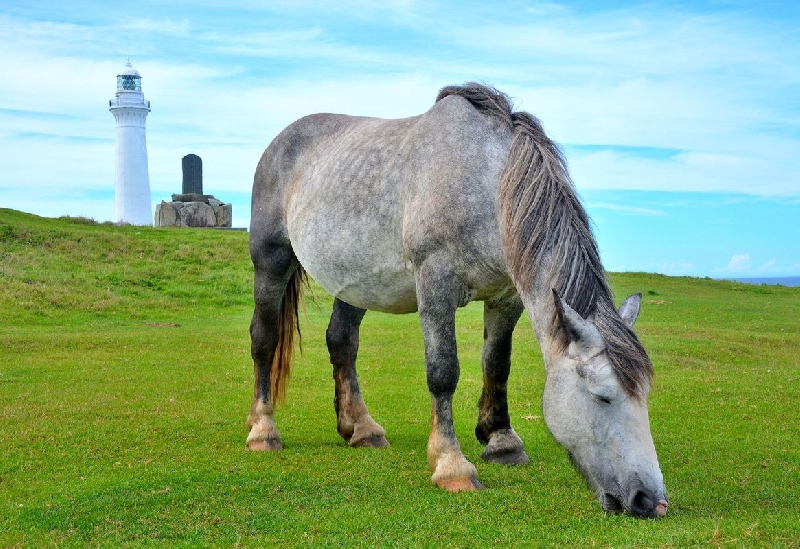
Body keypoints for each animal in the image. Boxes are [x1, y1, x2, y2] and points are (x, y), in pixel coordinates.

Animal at [245, 83, 668, 516]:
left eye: (645, 396)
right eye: (602, 397)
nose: (650, 500)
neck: (487, 183)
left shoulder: (506, 297)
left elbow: (496, 364)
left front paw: (501, 442)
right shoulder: (435, 284)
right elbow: (443, 371)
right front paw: (451, 465)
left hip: (355, 280)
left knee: (342, 342)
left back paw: (361, 429)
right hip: (272, 260)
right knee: (264, 340)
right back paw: (263, 430)